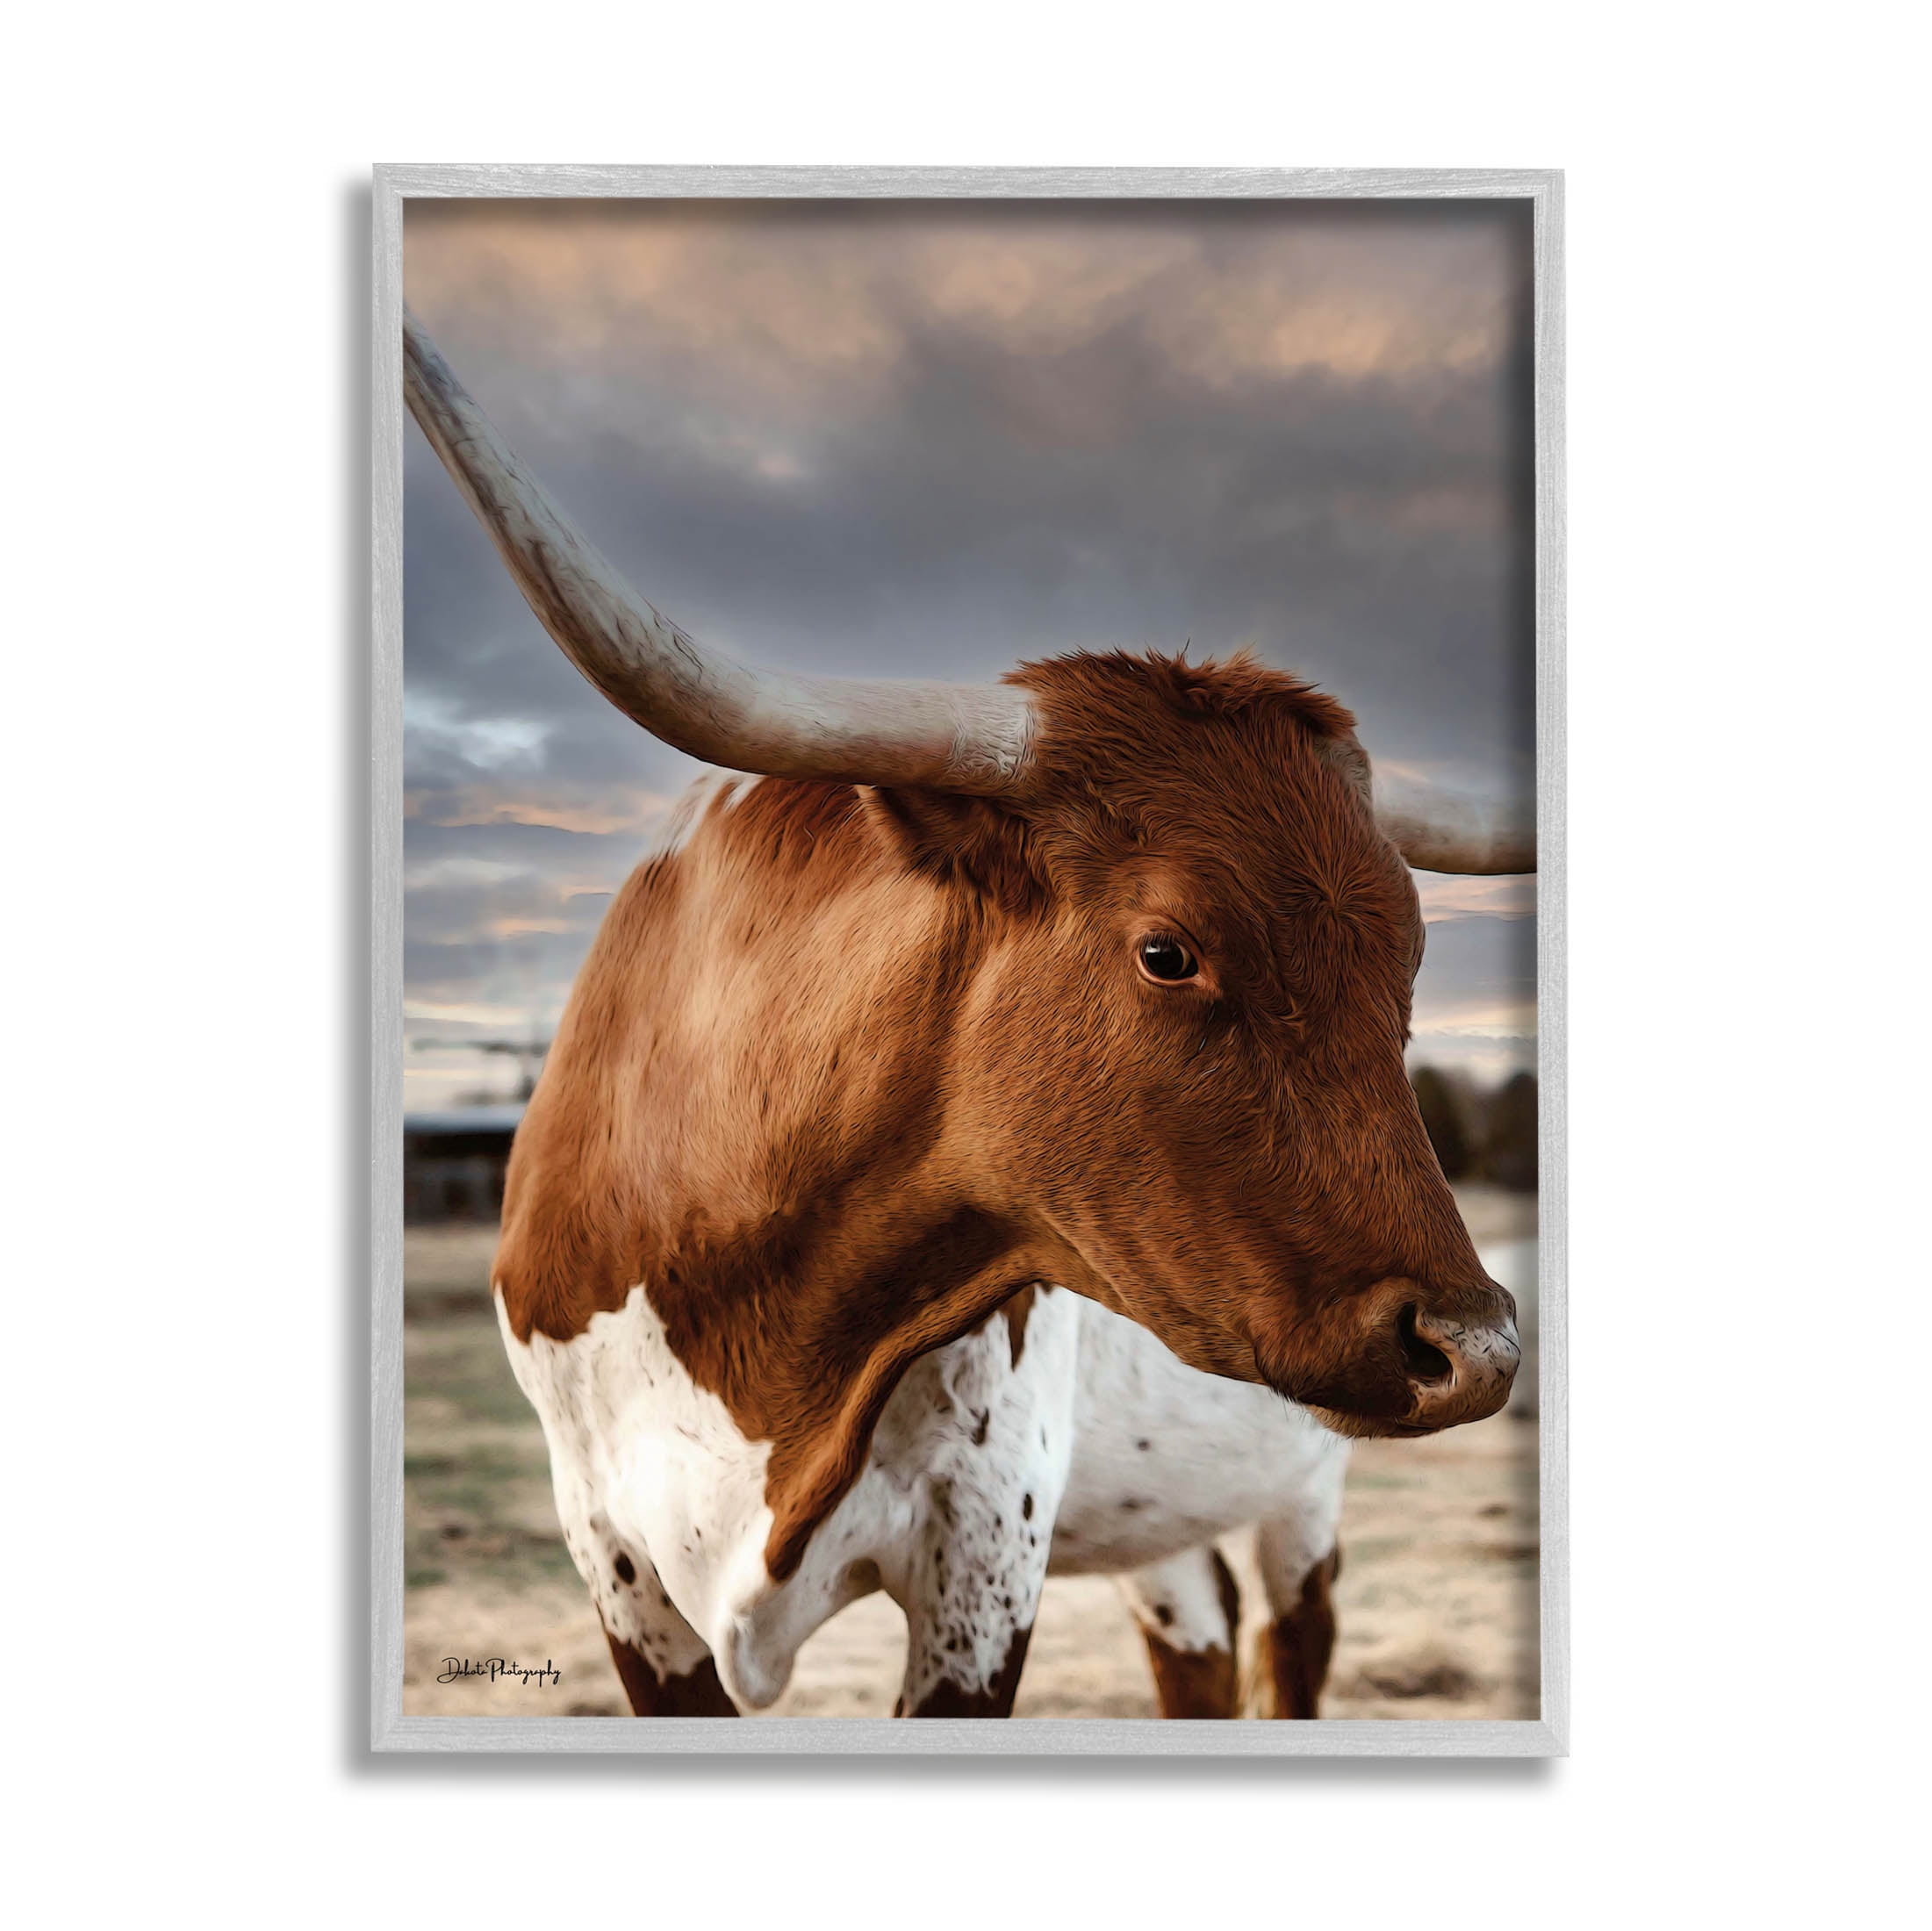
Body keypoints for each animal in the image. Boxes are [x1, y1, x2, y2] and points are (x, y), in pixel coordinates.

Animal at [404, 311, 1530, 1719]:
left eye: (1408, 965)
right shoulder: (614, 1559)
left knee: (1290, 1645)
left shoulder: (985, 1539)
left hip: (1300, 1492)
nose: (1476, 1346)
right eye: (1166, 951)